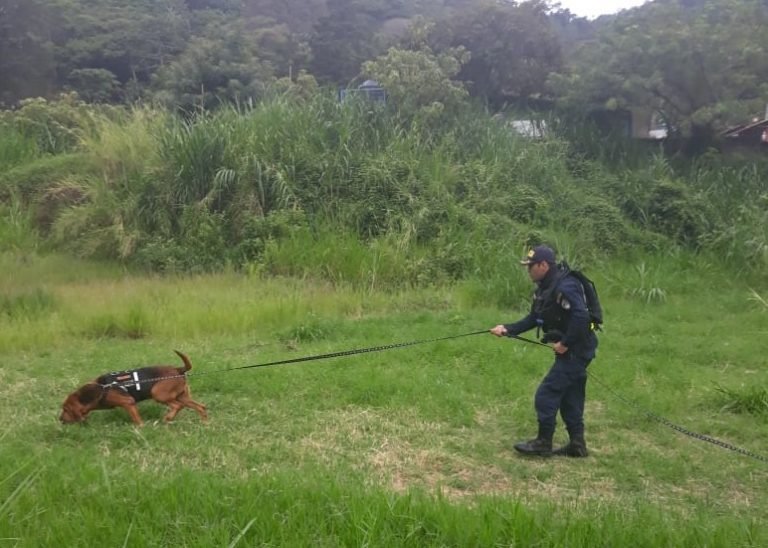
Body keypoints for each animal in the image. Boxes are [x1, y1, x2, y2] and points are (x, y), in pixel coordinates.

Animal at [59, 348, 207, 426]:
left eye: (65, 409)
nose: (60, 419)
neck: (101, 388)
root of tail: (178, 369)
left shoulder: (128, 402)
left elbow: (137, 419)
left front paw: (140, 428)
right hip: (183, 396)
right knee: (201, 407)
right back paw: (204, 423)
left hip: (158, 394)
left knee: (177, 406)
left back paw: (167, 418)